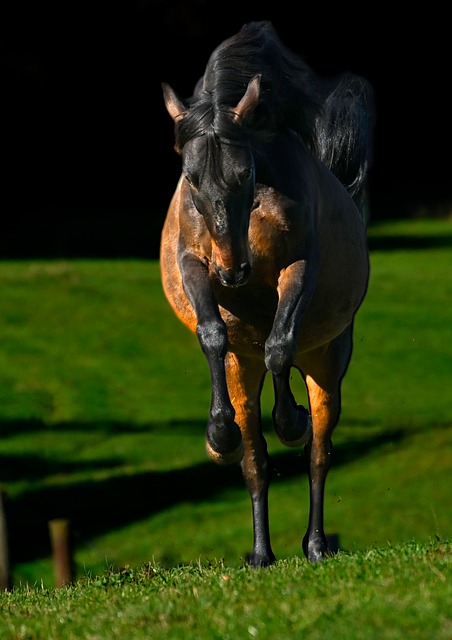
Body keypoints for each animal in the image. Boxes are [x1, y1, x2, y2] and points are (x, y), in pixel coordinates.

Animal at [160, 21, 375, 567]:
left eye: (246, 172)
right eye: (190, 178)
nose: (234, 270)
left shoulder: (298, 267)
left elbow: (281, 344)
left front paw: (291, 419)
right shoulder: (194, 265)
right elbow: (213, 334)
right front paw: (218, 435)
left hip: (327, 363)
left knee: (319, 453)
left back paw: (315, 544)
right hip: (243, 370)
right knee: (255, 460)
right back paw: (261, 553)